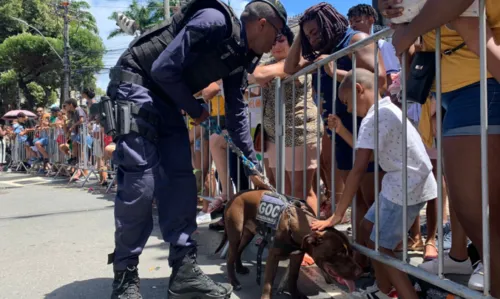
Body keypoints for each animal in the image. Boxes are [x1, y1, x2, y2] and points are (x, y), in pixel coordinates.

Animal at [214, 191, 360, 298]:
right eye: (339, 253)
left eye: (351, 252)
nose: (360, 271)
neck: (295, 223)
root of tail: (234, 196)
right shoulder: (273, 256)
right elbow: (268, 283)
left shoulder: (297, 256)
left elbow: (293, 277)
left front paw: (295, 294)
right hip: (235, 235)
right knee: (230, 257)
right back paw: (234, 281)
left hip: (247, 234)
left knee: (238, 251)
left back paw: (239, 268)